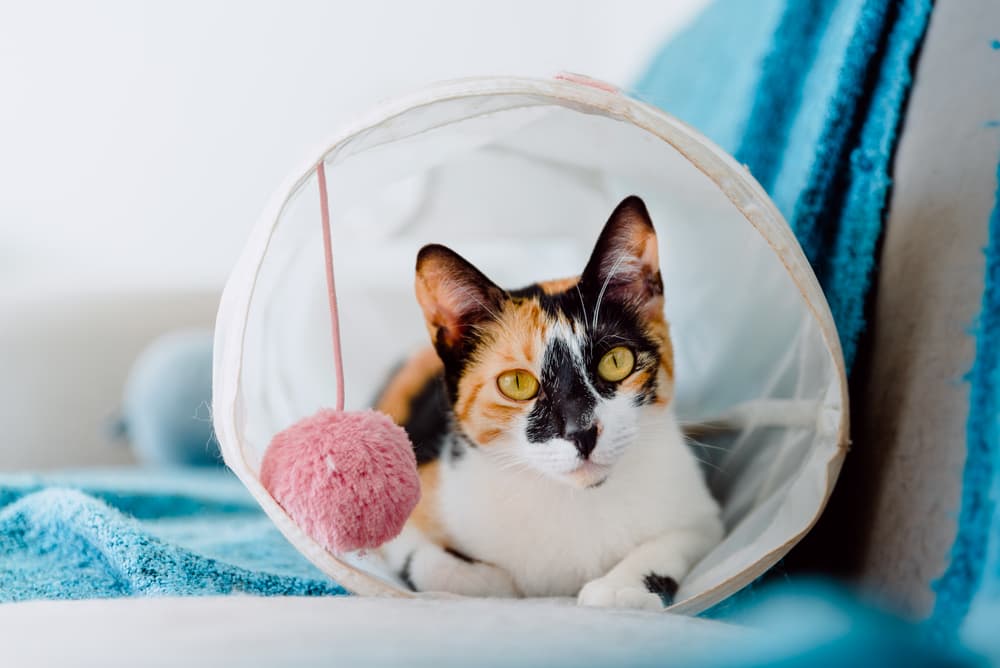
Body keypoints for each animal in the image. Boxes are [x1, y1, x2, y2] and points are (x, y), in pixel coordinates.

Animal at [374, 196, 720, 608]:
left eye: (616, 361)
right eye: (517, 383)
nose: (582, 432)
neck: (573, 499)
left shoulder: (703, 518)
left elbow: (672, 543)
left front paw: (621, 589)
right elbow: (428, 561)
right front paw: (494, 585)